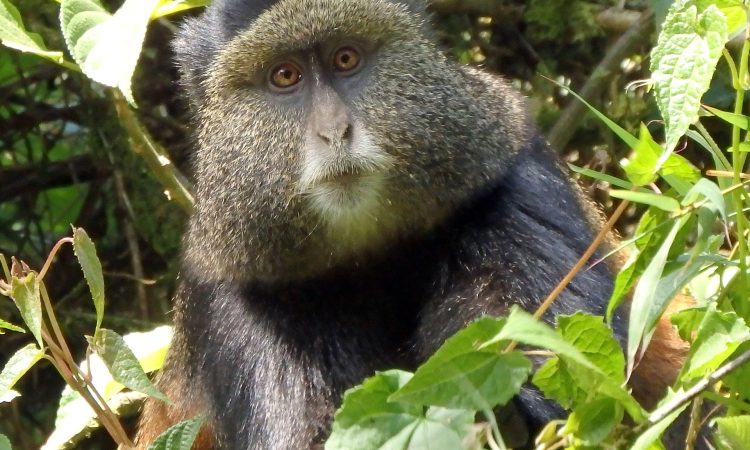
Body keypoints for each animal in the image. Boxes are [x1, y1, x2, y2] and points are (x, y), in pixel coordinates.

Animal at [134, 0, 690, 448]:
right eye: (285, 76)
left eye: (346, 59)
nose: (335, 131)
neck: (375, 253)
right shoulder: (236, 299)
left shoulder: (514, 187)